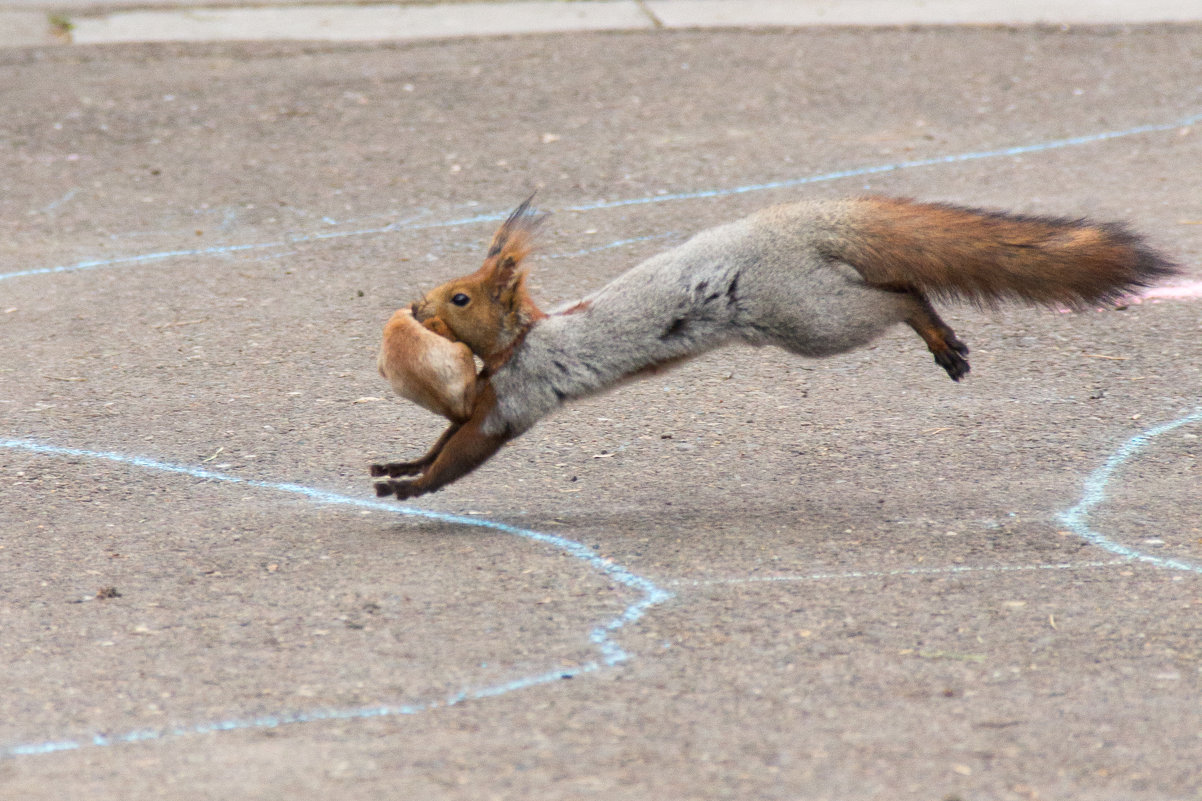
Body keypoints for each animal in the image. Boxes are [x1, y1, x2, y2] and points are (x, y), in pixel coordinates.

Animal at [372, 192, 1173, 500]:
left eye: (461, 298)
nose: (415, 307)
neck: (515, 344)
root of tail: (797, 224)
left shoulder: (516, 396)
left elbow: (464, 453)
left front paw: (412, 488)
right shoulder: (480, 395)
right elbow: (441, 436)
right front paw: (396, 466)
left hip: (811, 317)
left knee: (900, 296)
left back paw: (937, 334)